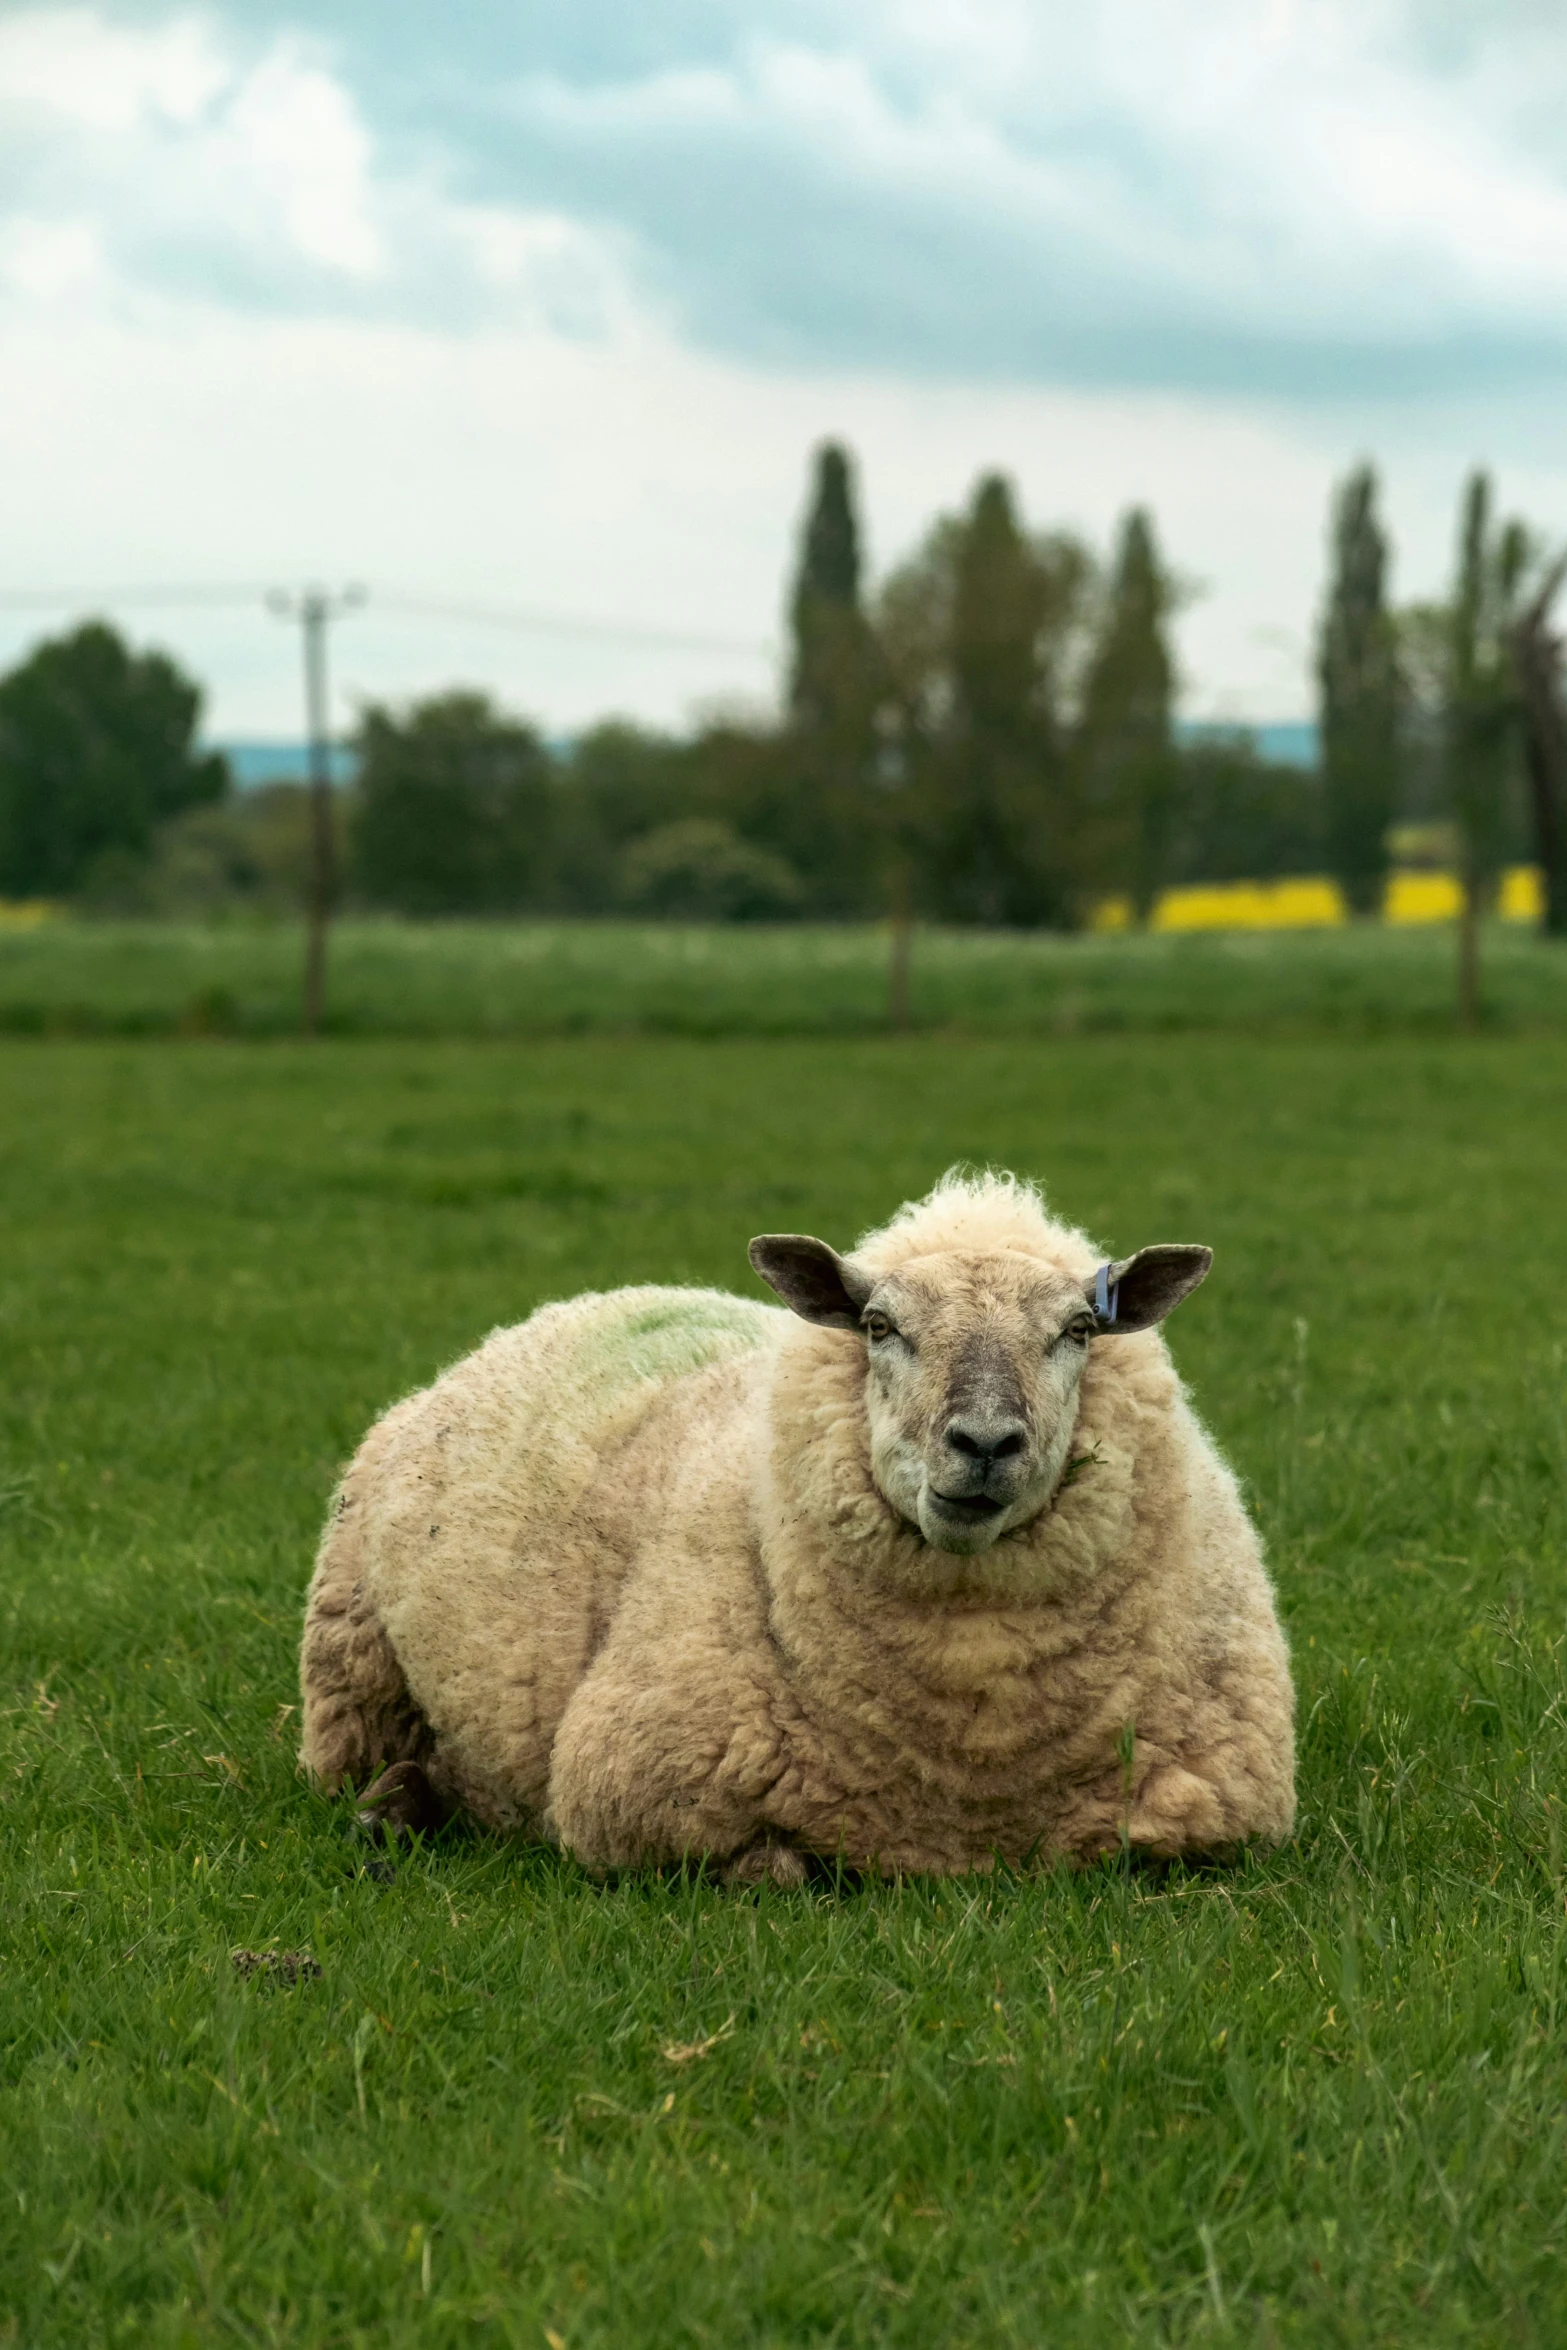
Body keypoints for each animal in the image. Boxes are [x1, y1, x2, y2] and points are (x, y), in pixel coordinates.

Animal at [300, 1165, 1296, 1879]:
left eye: (1079, 1331)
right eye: (879, 1326)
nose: (982, 1443)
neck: (971, 1767)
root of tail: (584, 1302)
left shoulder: (1214, 1818)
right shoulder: (637, 1795)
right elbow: (783, 1869)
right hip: (352, 1659)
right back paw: (389, 1808)